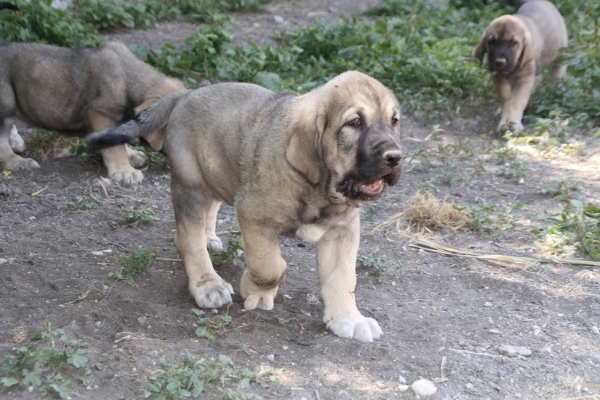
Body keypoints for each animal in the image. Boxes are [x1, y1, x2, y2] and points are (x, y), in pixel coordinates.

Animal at [0, 39, 184, 184]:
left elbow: (119, 136)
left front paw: (130, 155)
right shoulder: (101, 113)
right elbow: (114, 145)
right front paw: (124, 170)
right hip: (5, 102)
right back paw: (17, 161)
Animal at [89, 70, 406, 342]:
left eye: (394, 121)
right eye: (354, 123)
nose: (395, 157)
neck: (320, 187)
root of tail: (186, 94)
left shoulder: (343, 231)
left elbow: (343, 278)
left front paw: (348, 318)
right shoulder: (255, 218)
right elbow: (269, 266)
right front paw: (255, 289)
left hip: (216, 170)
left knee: (210, 209)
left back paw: (210, 238)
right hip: (190, 184)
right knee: (187, 237)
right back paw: (208, 283)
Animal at [474, 0, 568, 131]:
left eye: (514, 43)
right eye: (492, 41)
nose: (499, 62)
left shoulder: (523, 81)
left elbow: (515, 102)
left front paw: (512, 123)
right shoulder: (499, 78)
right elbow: (505, 97)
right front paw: (504, 114)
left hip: (561, 56)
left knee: (557, 76)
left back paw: (557, 93)